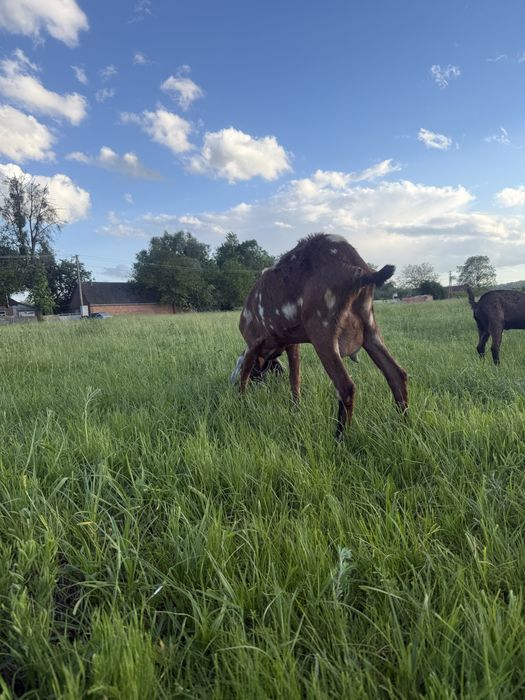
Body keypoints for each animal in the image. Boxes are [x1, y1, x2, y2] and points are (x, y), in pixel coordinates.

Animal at [231, 233, 408, 438]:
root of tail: (359, 270)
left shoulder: (253, 342)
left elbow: (244, 377)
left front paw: (241, 403)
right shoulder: (292, 344)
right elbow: (295, 380)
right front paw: (295, 410)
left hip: (322, 332)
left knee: (346, 387)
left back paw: (339, 438)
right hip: (370, 328)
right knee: (396, 374)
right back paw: (404, 425)